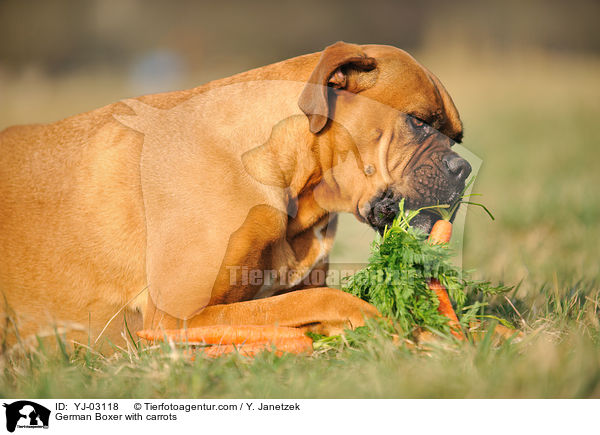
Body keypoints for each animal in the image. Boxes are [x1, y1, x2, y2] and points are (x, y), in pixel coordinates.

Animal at [0, 41, 468, 350]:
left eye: (457, 138)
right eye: (418, 122)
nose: (462, 169)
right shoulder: (175, 318)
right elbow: (318, 300)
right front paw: (386, 321)